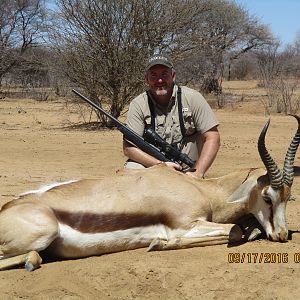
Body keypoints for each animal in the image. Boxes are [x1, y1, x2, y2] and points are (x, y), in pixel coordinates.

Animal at [0, 116, 298, 270]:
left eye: (288, 197)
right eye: (268, 197)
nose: (282, 235)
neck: (202, 189)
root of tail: (7, 208)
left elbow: (245, 230)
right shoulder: (186, 224)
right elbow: (235, 231)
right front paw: (159, 243)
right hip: (44, 232)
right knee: (30, 255)